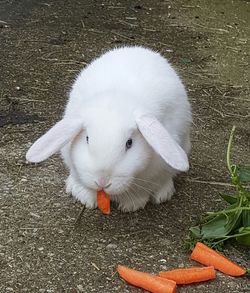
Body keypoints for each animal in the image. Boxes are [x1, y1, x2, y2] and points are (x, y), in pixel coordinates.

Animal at [26, 45, 191, 211]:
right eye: (87, 139)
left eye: (129, 143)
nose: (102, 181)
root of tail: (135, 48)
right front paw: (86, 198)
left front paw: (131, 205)